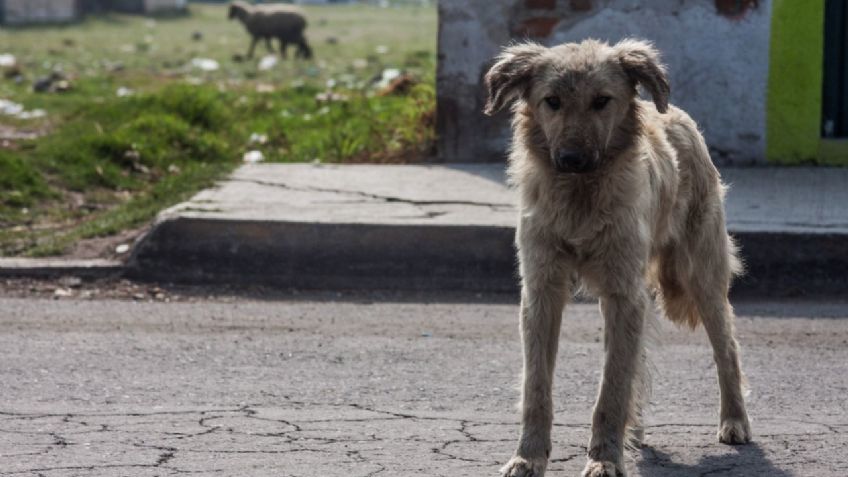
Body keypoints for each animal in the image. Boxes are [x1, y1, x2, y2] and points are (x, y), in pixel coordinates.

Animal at [486, 38, 752, 476]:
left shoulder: (622, 294)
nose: (571, 159)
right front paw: (528, 456)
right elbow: (537, 385)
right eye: (552, 101)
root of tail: (678, 115)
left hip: (702, 277)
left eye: (602, 100)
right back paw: (637, 429)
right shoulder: (542, 291)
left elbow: (611, 387)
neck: (580, 199)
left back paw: (734, 420)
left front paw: (605, 458)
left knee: (726, 348)